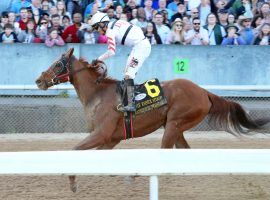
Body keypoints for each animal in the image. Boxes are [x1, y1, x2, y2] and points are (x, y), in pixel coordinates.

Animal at [35, 48, 268, 192]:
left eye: (58, 64)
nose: (39, 80)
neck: (98, 94)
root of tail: (204, 92)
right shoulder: (111, 139)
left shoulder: (101, 134)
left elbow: (74, 151)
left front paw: (73, 181)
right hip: (177, 127)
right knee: (184, 151)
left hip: (174, 123)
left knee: (164, 152)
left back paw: (135, 175)